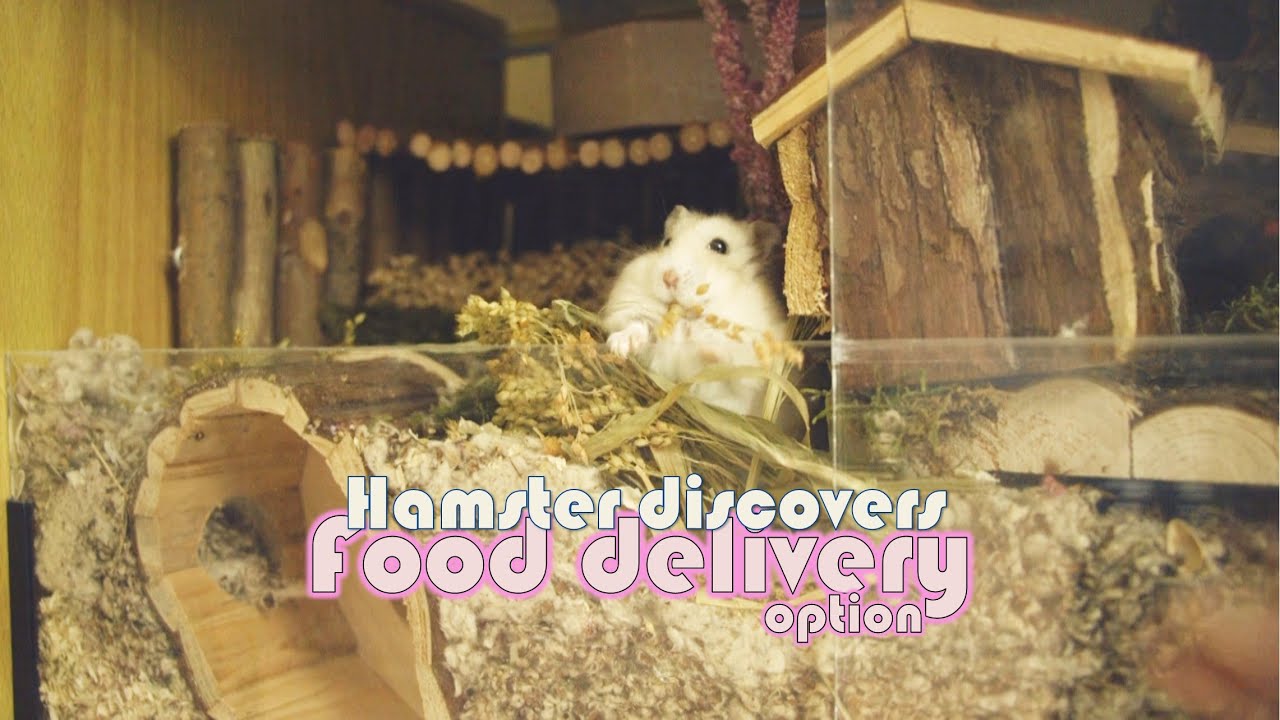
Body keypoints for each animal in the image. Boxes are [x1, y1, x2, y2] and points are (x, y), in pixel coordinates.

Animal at [600, 205, 789, 416]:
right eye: (667, 242)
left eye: (719, 246)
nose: (668, 277)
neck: (686, 317)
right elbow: (638, 325)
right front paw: (618, 346)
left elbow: (726, 367)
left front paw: (707, 347)